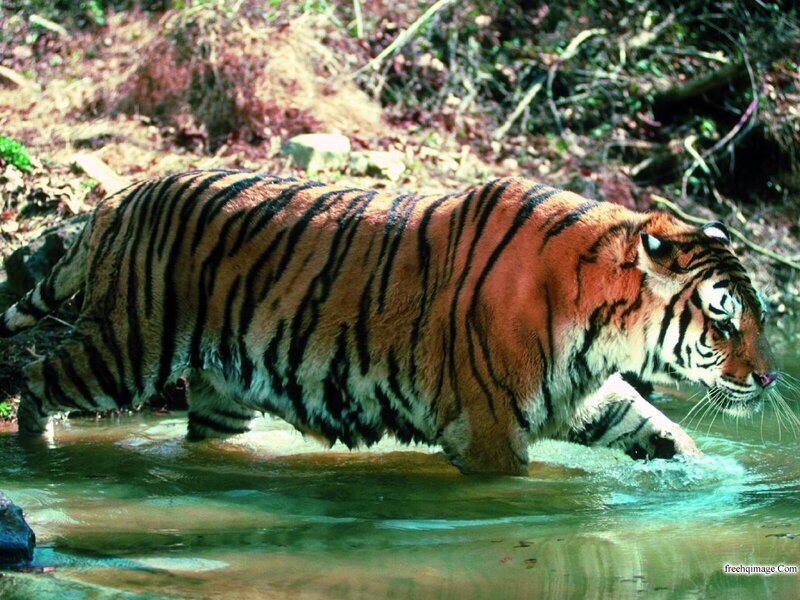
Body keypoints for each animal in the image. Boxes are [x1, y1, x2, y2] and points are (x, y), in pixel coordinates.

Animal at [0, 170, 778, 474]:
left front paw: (714, 478)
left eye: (761, 315)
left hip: (222, 389)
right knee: (35, 377)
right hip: (126, 349)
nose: (771, 378)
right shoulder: (490, 431)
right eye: (722, 319)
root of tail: (120, 196)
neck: (600, 330)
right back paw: (37, 451)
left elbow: (663, 430)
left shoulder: (586, 395)